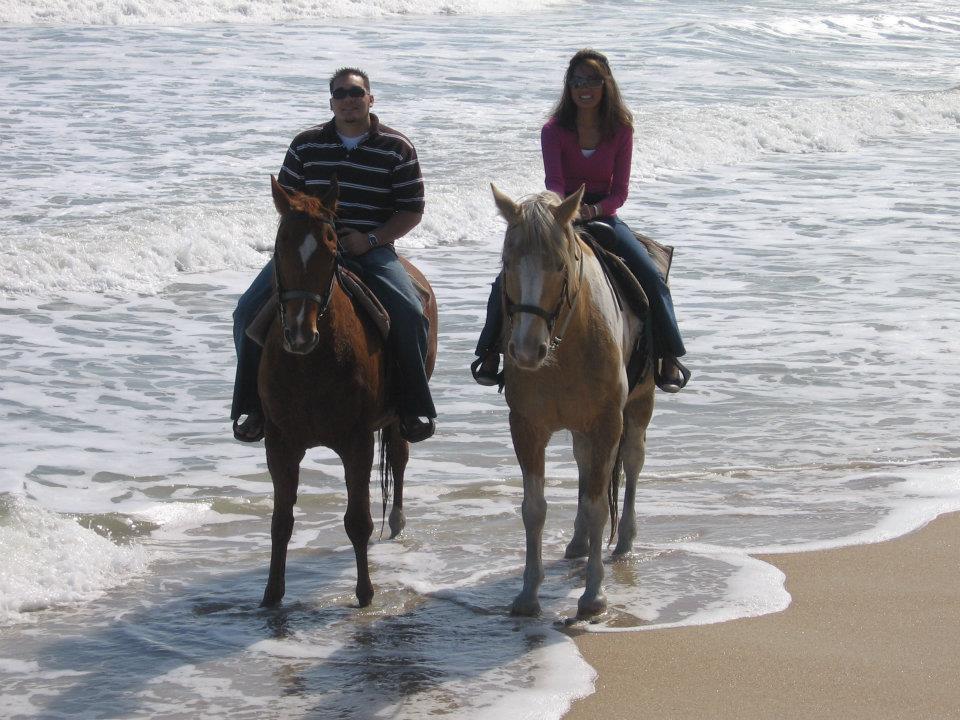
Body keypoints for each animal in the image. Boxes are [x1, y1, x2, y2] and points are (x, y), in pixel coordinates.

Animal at [258, 176, 438, 608]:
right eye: (280, 244)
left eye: (330, 249)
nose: (300, 334)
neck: (309, 365)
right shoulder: (279, 442)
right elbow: (281, 521)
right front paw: (272, 594)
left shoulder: (356, 441)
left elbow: (357, 522)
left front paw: (365, 593)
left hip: (398, 417)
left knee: (400, 458)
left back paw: (398, 521)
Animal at [492, 186, 656, 620]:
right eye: (506, 262)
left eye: (560, 266)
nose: (526, 350)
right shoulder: (527, 427)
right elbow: (534, 508)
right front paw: (527, 594)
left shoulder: (606, 424)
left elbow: (599, 506)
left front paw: (593, 596)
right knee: (585, 466)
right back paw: (579, 542)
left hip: (640, 404)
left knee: (632, 462)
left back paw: (625, 542)